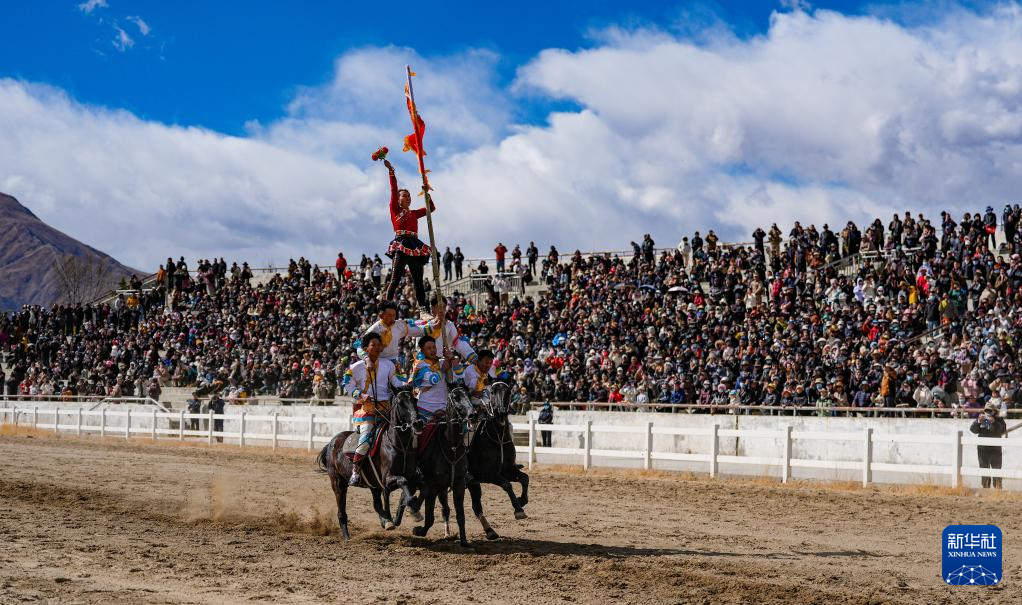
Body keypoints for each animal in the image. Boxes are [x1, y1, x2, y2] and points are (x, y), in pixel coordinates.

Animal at [314, 388, 419, 539]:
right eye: (400, 402)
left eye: (415, 399)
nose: (417, 423)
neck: (399, 446)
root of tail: (331, 443)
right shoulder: (387, 480)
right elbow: (402, 481)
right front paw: (413, 509)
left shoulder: (409, 479)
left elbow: (405, 493)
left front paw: (403, 514)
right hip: (338, 483)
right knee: (341, 512)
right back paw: (347, 536)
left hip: (372, 485)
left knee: (376, 504)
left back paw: (386, 520)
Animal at [406, 388, 470, 547]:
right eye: (456, 397)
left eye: (468, 395)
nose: (472, 413)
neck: (451, 448)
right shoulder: (433, 487)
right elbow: (430, 517)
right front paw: (418, 530)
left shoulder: (458, 485)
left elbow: (460, 515)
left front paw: (464, 540)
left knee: (445, 509)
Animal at [468, 382, 531, 539]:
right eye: (492, 392)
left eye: (508, 391)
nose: (502, 412)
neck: (498, 437)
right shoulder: (488, 475)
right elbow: (507, 485)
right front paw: (518, 509)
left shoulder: (508, 470)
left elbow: (525, 478)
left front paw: (521, 501)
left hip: (472, 484)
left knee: (476, 506)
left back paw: (490, 531)